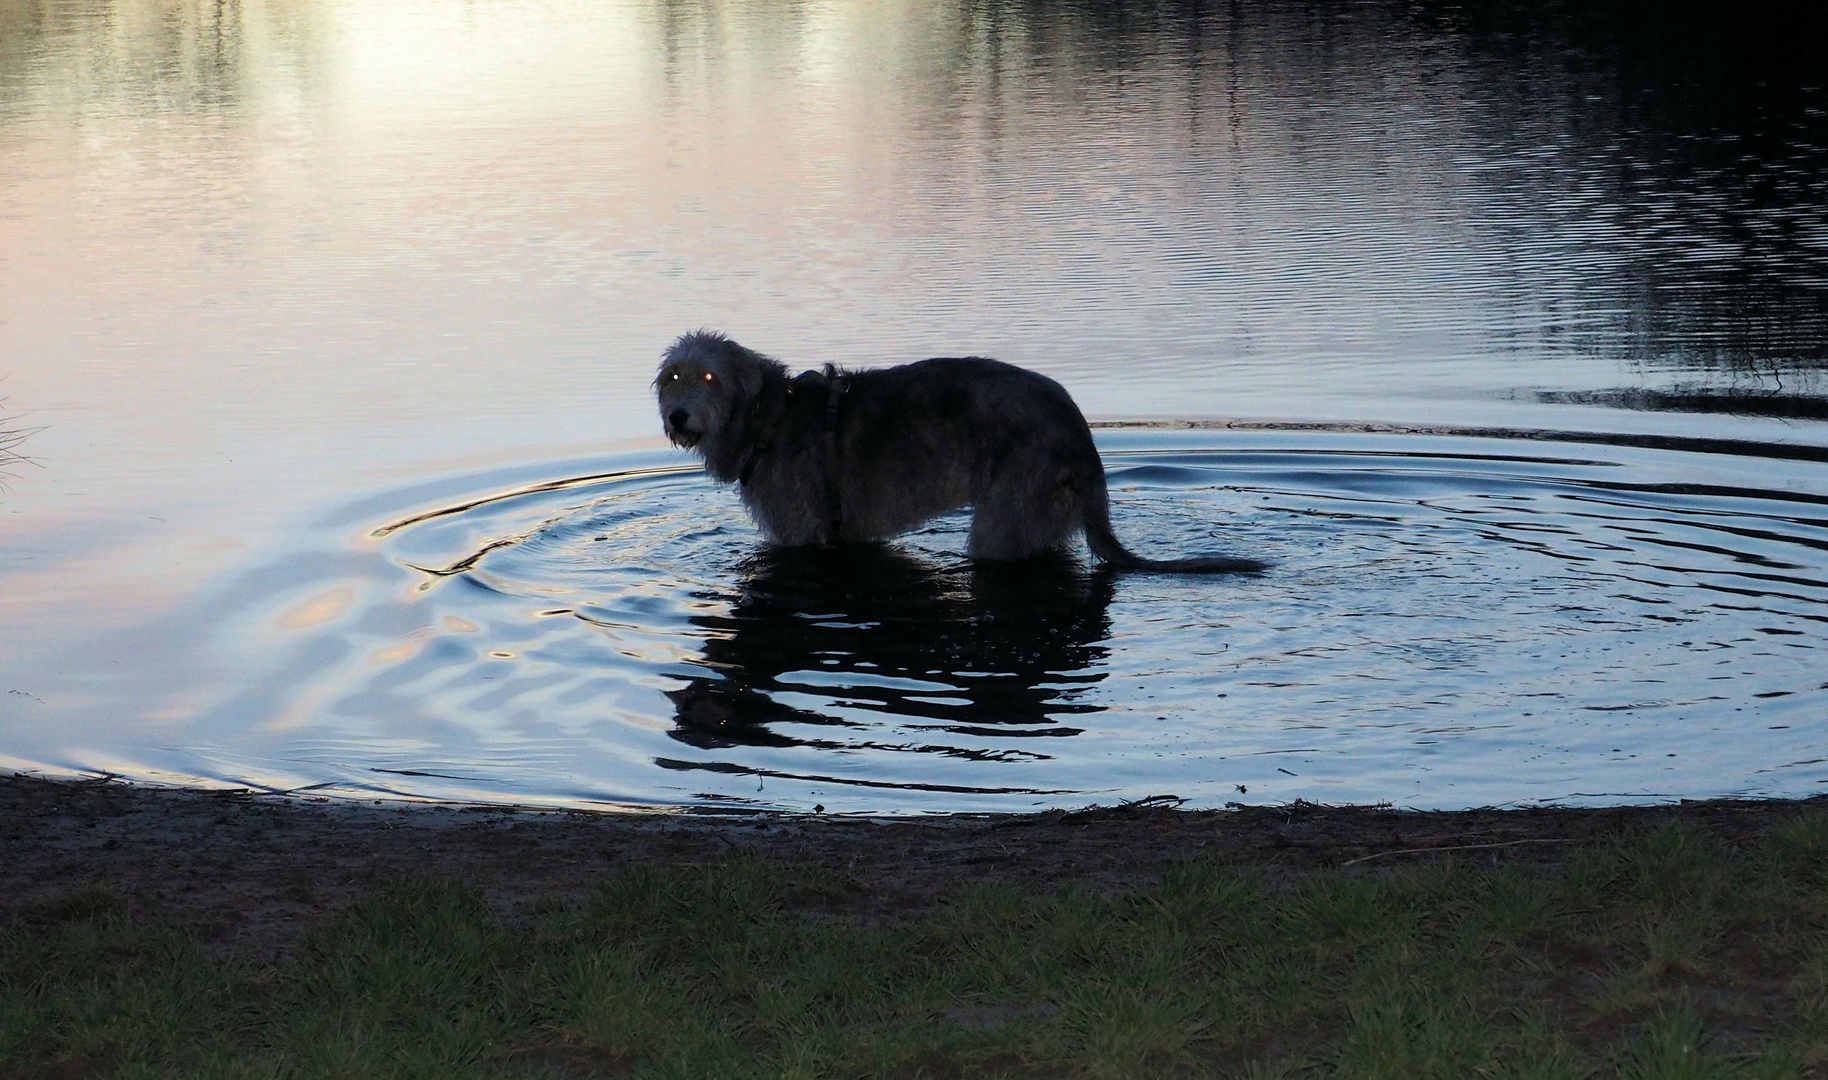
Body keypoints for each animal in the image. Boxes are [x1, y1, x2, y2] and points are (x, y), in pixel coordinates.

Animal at [658, 332, 1272, 573]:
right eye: (672, 378)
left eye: (708, 376)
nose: (677, 417)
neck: (770, 418)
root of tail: (1082, 443)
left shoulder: (805, 534)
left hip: (1008, 512)